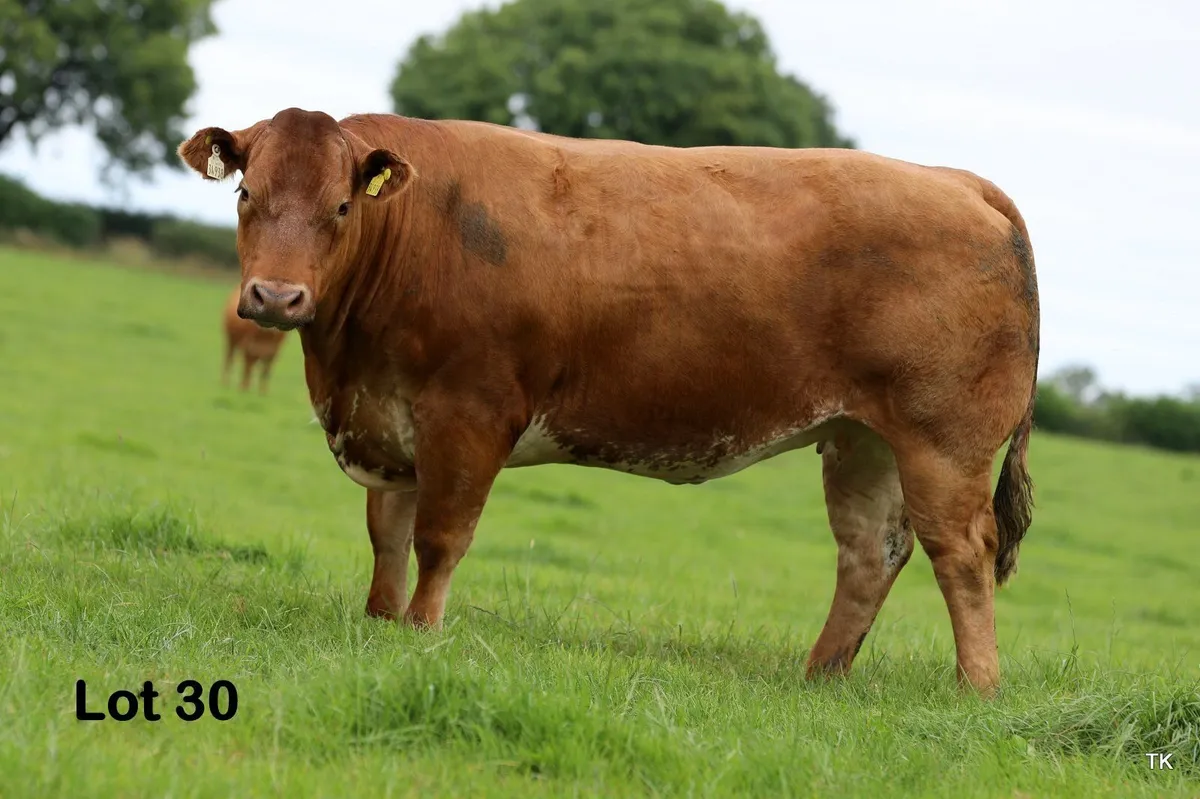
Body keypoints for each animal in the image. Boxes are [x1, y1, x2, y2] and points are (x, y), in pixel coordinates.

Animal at [178, 107, 1040, 695]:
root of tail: (959, 180)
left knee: (962, 551)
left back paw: (977, 687)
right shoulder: (388, 422)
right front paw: (381, 626)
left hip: (942, 441)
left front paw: (421, 634)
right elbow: (387, 539)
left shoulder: (469, 414)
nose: (276, 297)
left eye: (342, 207)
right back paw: (820, 676)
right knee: (871, 550)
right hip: (864, 438)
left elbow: (440, 538)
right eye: (247, 192)